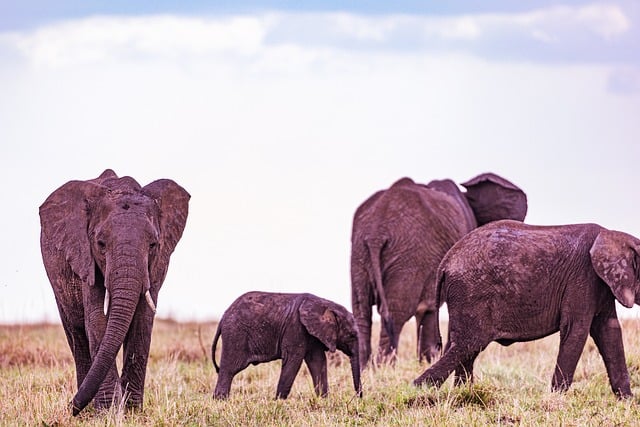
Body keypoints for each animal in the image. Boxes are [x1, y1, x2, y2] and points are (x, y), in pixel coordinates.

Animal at [39, 170, 190, 414]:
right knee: (76, 333)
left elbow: (142, 321)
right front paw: (108, 412)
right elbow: (97, 321)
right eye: (100, 244)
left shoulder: (157, 265)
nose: (70, 408)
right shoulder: (85, 257)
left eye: (153, 245)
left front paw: (132, 411)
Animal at [212, 292, 362, 400]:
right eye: (351, 335)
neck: (325, 305)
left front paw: (323, 400)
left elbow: (318, 361)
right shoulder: (295, 328)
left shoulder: (311, 334)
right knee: (229, 369)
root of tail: (223, 316)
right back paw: (221, 401)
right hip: (235, 334)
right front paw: (278, 401)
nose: (358, 398)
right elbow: (293, 361)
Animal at [352, 172, 528, 366]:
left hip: (361, 253)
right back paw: (384, 366)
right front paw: (429, 361)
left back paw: (364, 366)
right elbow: (428, 308)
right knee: (397, 312)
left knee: (361, 311)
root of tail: (377, 231)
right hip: (408, 256)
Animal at [412, 219, 636, 400]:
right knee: (469, 343)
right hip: (470, 293)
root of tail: (445, 262)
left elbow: (609, 331)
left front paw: (627, 400)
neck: (613, 235)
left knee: (463, 346)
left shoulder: (602, 285)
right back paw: (420, 389)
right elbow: (576, 330)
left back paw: (462, 392)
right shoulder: (583, 279)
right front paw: (556, 398)